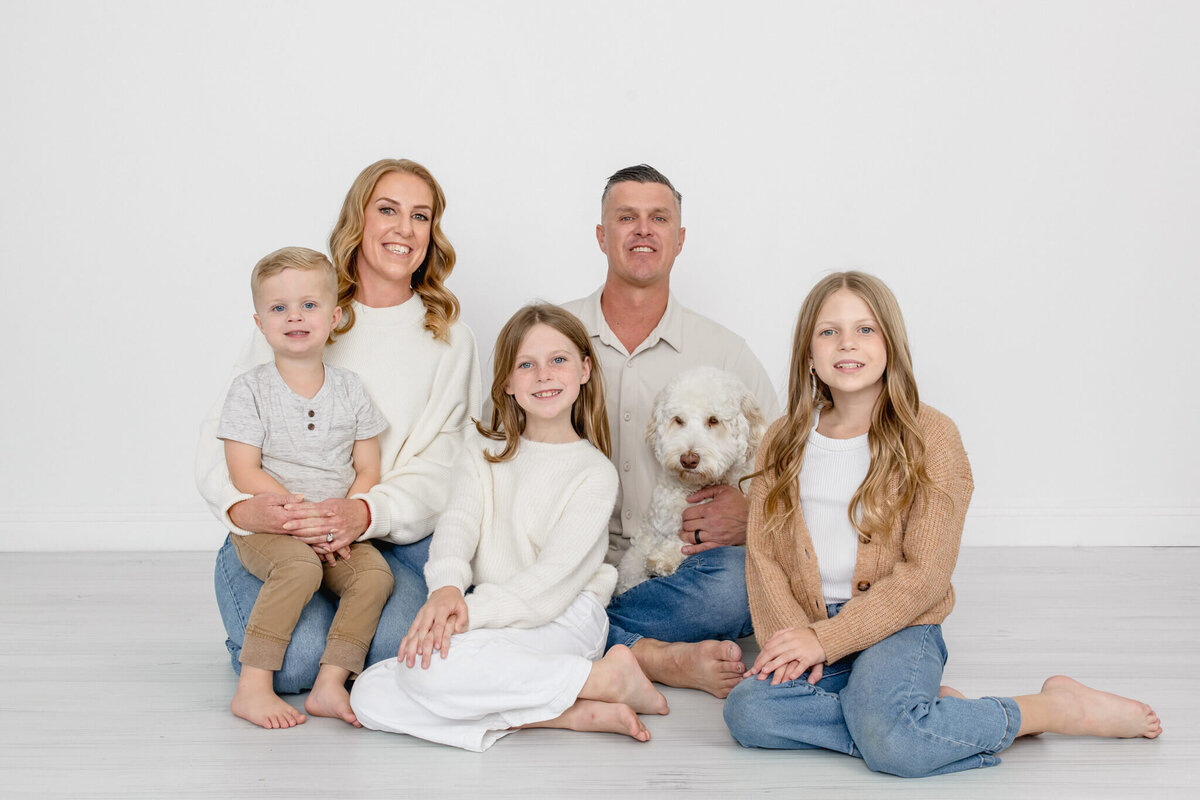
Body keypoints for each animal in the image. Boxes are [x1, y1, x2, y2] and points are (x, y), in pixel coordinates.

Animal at [619, 367, 768, 592]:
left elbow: (688, 540)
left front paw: (664, 557)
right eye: (679, 420)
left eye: (713, 420)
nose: (688, 460)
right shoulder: (651, 528)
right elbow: (631, 566)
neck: (692, 488)